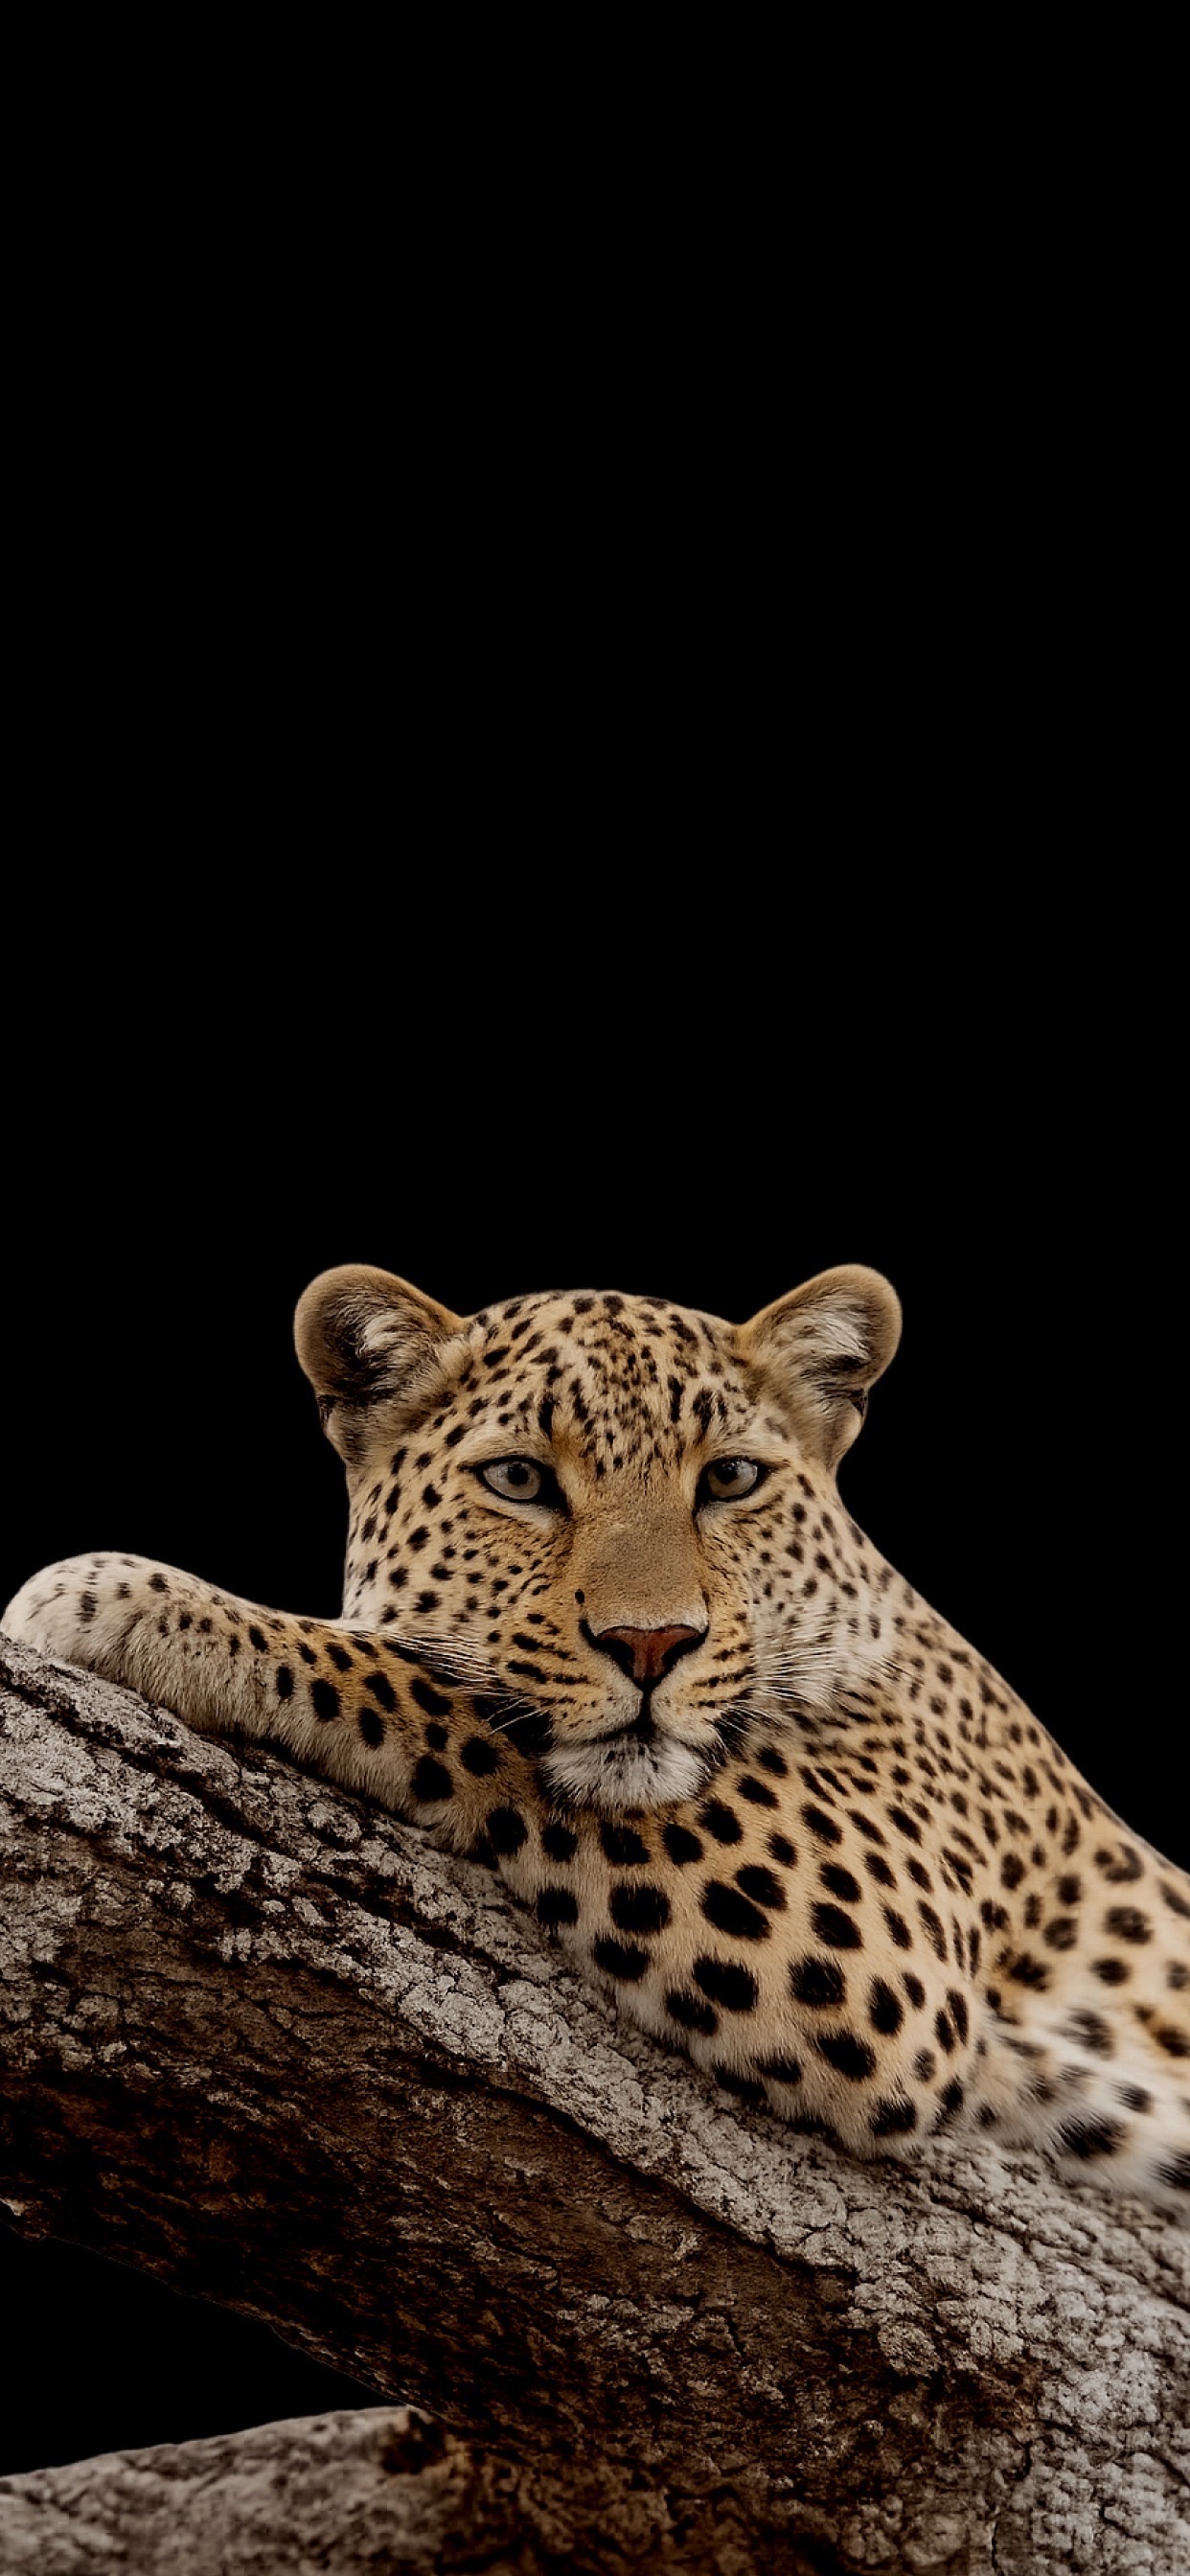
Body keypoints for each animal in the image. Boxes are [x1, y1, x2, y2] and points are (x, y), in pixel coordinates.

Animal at [5, 1261, 1188, 2219]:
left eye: (730, 1479)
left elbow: (429, 1684)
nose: (652, 1643)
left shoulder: (872, 1918)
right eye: (521, 1479)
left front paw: (136, 1602)